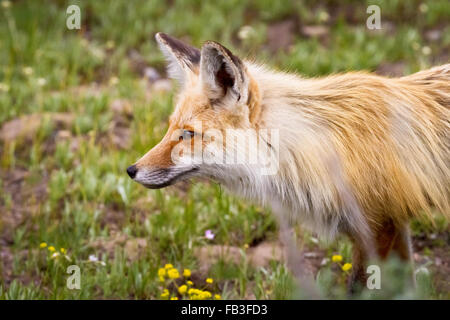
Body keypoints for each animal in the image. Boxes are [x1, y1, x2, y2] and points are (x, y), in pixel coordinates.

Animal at [127, 33, 450, 290]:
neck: (322, 148)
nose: (131, 170)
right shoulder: (391, 222)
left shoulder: (377, 226)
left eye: (188, 134)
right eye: (171, 127)